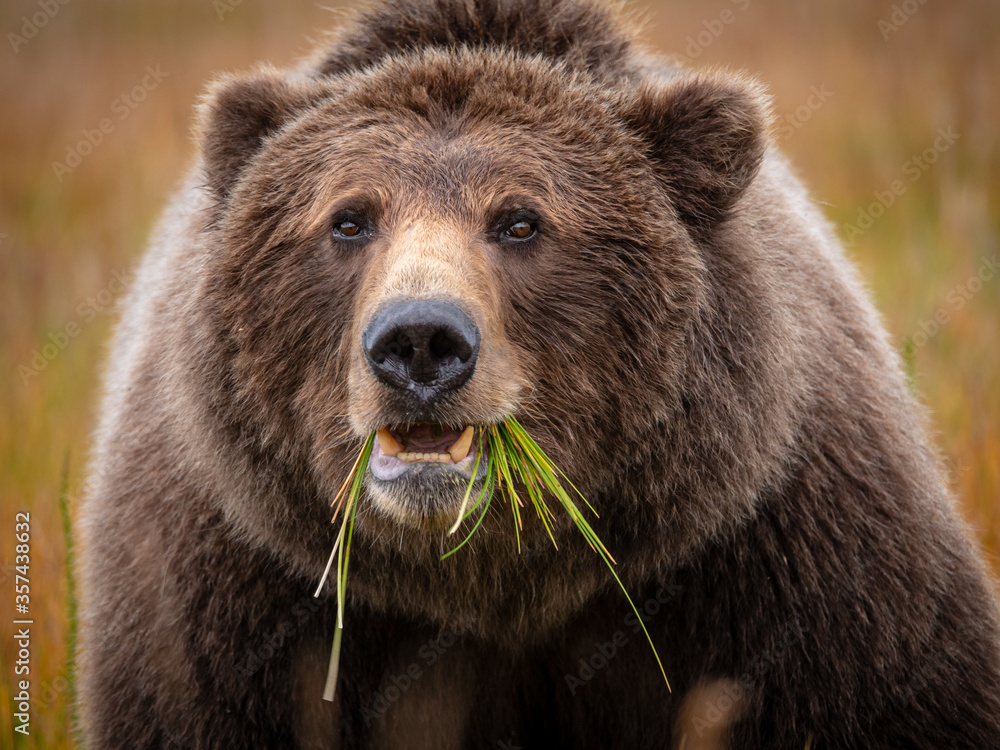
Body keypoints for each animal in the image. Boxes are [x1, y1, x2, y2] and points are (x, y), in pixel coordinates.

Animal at [78, 0, 1000, 748]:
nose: (420, 342)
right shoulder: (233, 589)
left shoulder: (782, 554)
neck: (495, 578)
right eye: (348, 219)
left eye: (520, 221)